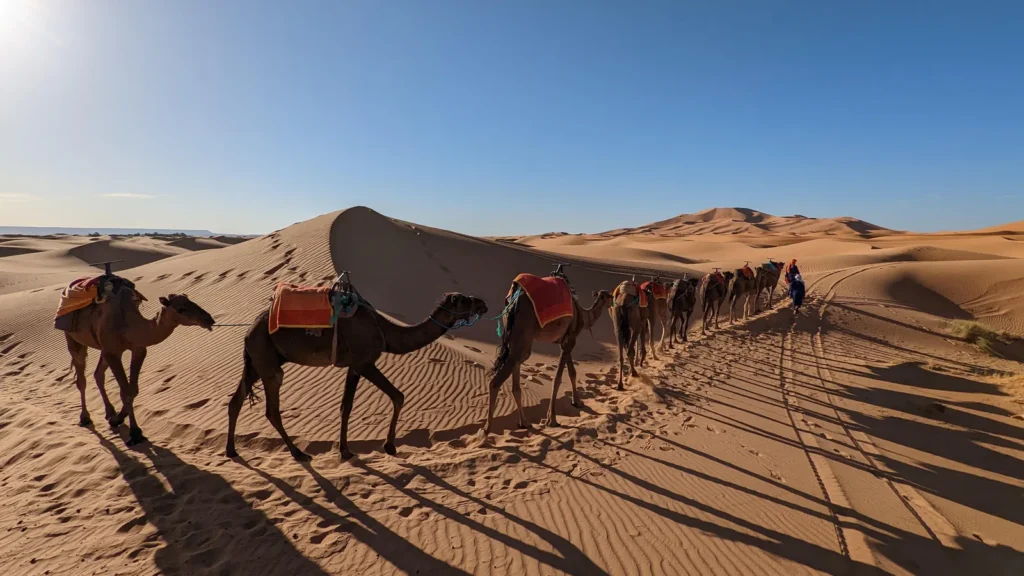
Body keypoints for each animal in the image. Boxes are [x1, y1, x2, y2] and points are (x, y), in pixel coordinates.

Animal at [64, 289, 215, 446]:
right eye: (181, 309)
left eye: (192, 301)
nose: (209, 319)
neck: (128, 326)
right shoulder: (113, 352)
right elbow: (126, 392)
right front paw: (135, 433)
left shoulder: (137, 349)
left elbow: (133, 390)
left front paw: (117, 419)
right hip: (73, 339)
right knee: (81, 377)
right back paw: (85, 417)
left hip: (102, 348)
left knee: (98, 374)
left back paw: (110, 412)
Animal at [226, 291, 488, 461]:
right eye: (465, 299)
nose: (483, 304)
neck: (386, 331)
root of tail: (248, 331)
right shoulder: (364, 362)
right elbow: (398, 396)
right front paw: (388, 446)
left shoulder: (353, 366)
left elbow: (346, 406)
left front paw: (345, 450)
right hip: (267, 360)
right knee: (272, 406)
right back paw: (298, 453)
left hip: (256, 361)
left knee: (235, 401)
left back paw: (231, 450)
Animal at [484, 287, 613, 435]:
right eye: (609, 296)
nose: (613, 302)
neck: (583, 315)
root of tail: (513, 303)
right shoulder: (570, 339)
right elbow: (557, 378)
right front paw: (552, 419)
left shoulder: (566, 340)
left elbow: (572, 372)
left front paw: (577, 402)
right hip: (524, 333)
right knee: (496, 381)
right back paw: (487, 429)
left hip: (516, 340)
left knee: (515, 378)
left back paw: (524, 423)